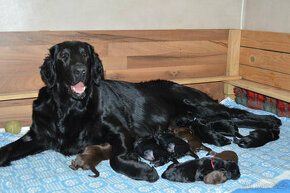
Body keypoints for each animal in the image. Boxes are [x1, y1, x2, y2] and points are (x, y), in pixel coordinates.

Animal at [0, 41, 280, 182]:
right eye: (64, 56)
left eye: (85, 55)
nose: (80, 69)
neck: (70, 108)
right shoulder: (38, 135)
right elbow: (6, 151)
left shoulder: (121, 132)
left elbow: (115, 158)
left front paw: (142, 170)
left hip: (201, 107)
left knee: (238, 114)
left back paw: (270, 123)